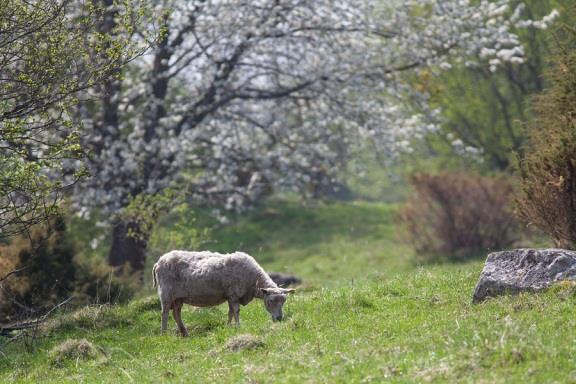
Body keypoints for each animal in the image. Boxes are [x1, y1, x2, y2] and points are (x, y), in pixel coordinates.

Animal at [151, 249, 294, 336]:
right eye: (270, 301)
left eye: (284, 301)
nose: (279, 318)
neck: (253, 281)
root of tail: (159, 261)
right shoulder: (234, 294)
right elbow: (236, 311)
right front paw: (238, 326)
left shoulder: (230, 296)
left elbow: (230, 312)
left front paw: (228, 326)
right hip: (166, 293)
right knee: (164, 313)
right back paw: (164, 333)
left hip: (178, 298)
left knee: (176, 314)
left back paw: (185, 333)